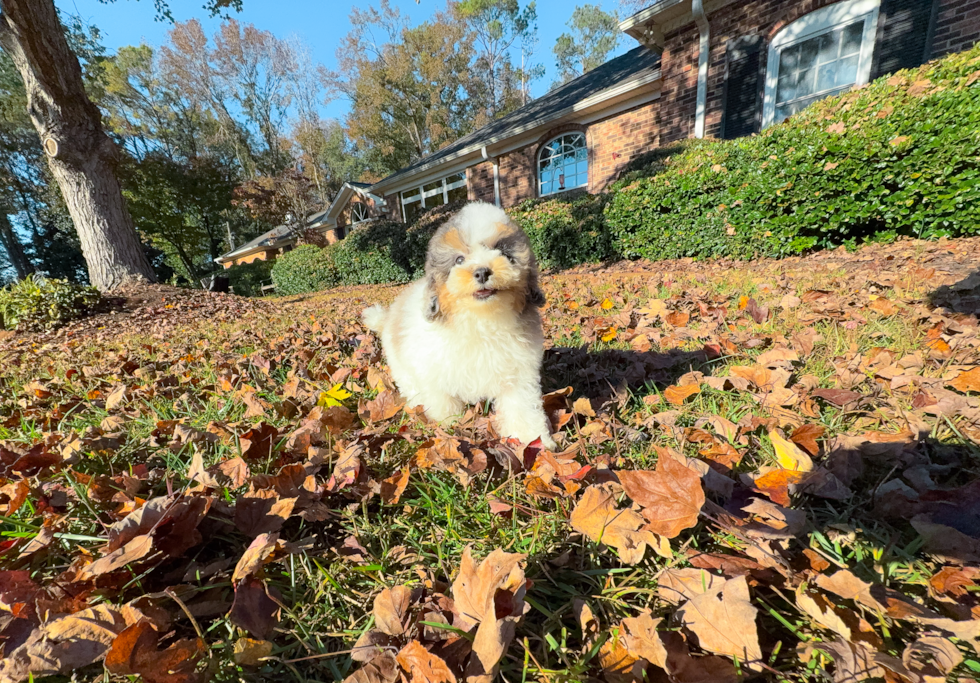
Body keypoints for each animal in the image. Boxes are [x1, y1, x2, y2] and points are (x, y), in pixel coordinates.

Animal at [364, 200, 556, 452]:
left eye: (503, 253)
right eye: (459, 260)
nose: (482, 271)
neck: (480, 321)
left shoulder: (518, 373)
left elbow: (522, 406)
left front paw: (535, 439)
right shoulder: (432, 369)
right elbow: (443, 402)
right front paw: (448, 426)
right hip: (401, 364)